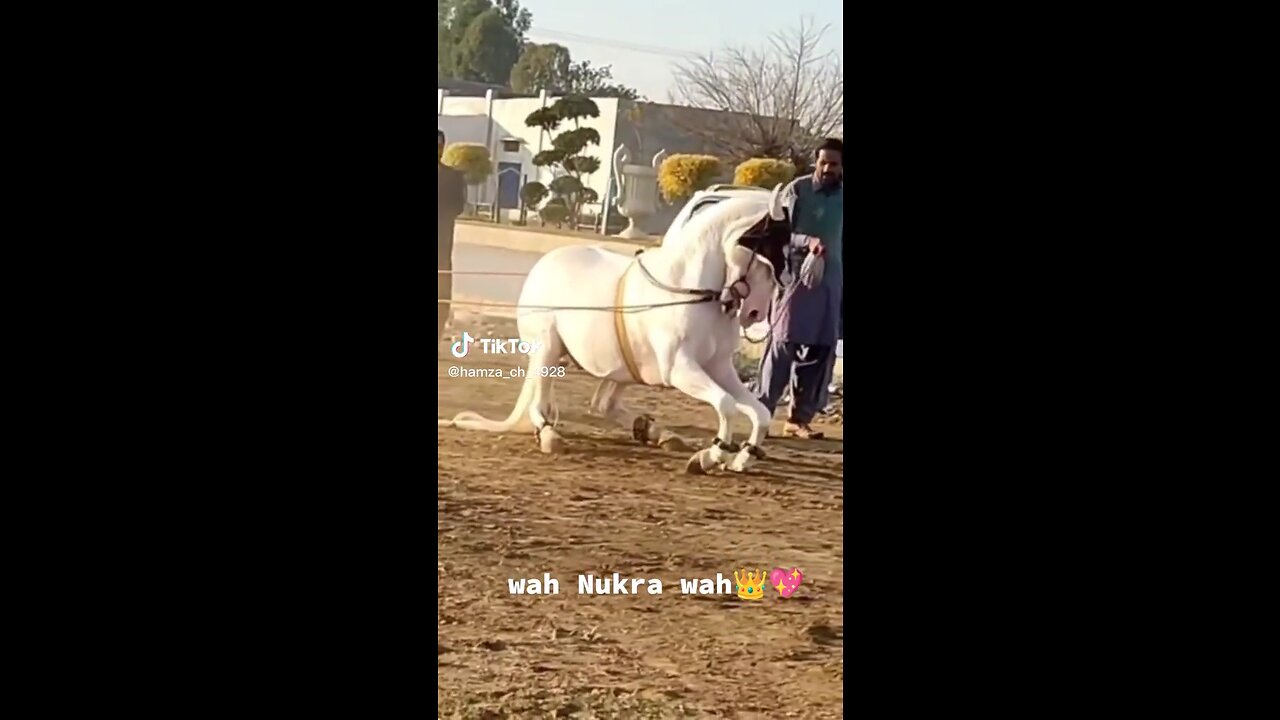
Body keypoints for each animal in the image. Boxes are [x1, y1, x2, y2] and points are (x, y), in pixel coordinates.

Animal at [445, 184, 793, 471]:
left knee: (603, 404)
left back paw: (658, 433)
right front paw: (710, 456)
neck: (687, 292)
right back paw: (550, 436)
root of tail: (545, 264)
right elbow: (726, 404)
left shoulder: (718, 367)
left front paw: (742, 458)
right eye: (768, 252)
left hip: (621, 367)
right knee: (541, 401)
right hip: (548, 350)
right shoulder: (679, 369)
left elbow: (759, 412)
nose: (754, 313)